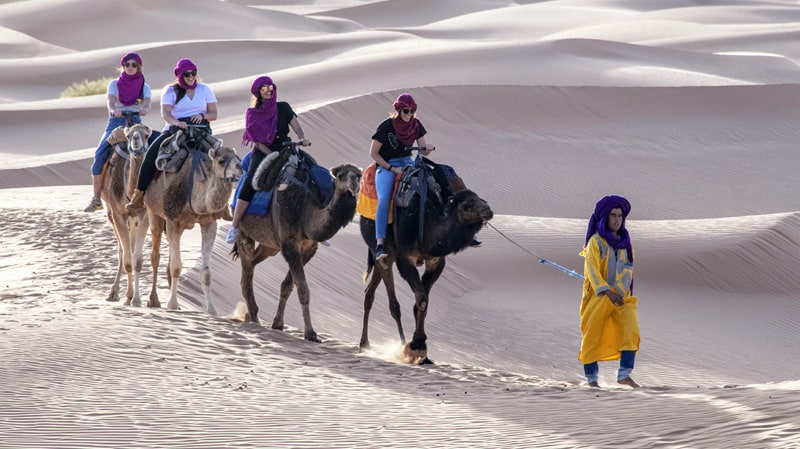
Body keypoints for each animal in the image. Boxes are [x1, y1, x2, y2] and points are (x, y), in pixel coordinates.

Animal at [101, 122, 153, 304]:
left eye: (146, 135)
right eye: (129, 135)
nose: (136, 139)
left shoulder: (144, 215)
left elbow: (137, 260)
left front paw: (136, 299)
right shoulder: (118, 214)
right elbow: (127, 260)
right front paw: (129, 297)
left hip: (134, 219)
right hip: (111, 213)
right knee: (122, 251)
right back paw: (114, 292)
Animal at [141, 132, 241, 316]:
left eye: (237, 157)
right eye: (221, 160)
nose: (241, 167)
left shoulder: (209, 223)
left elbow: (206, 272)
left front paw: (212, 310)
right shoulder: (172, 220)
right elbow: (176, 267)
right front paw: (172, 305)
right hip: (153, 212)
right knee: (155, 255)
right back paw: (152, 300)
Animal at [231, 145, 362, 342]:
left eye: (359, 175)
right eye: (340, 175)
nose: (354, 183)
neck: (306, 213)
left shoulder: (308, 248)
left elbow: (287, 286)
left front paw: (278, 324)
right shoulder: (290, 244)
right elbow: (303, 289)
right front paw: (311, 334)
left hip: (271, 245)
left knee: (252, 264)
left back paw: (249, 314)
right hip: (243, 232)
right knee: (246, 276)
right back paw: (254, 319)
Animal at [358, 164, 494, 364]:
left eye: (480, 198)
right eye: (467, 205)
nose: (488, 209)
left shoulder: (435, 261)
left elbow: (422, 302)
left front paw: (424, 353)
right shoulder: (405, 258)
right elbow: (421, 299)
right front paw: (416, 345)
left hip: (381, 259)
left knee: (369, 293)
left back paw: (366, 344)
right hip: (381, 249)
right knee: (393, 304)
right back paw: (395, 345)